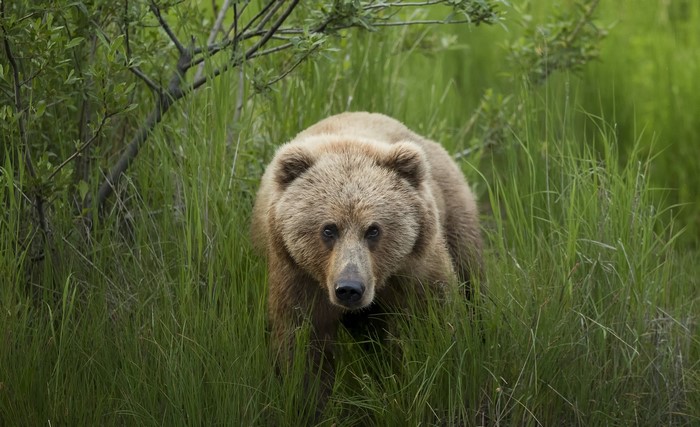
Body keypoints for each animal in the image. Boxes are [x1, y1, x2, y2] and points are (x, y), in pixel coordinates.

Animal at [251, 112, 483, 407]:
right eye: (329, 229)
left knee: (472, 279)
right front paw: (308, 400)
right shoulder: (298, 276)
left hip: (455, 215)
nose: (349, 288)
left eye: (373, 229)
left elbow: (430, 324)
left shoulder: (414, 268)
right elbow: (302, 345)